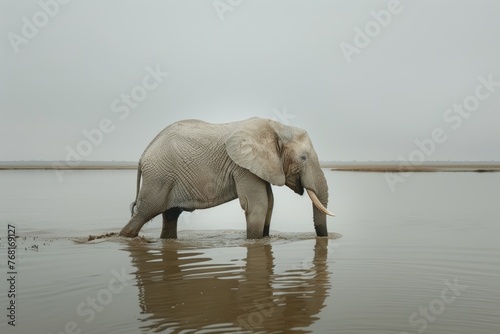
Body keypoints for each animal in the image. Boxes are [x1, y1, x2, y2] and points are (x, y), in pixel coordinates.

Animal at [119, 116, 334, 239]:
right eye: (303, 158)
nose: (325, 238)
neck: (277, 128)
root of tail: (143, 155)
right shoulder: (243, 167)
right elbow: (258, 204)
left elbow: (270, 203)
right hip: (158, 178)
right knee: (144, 212)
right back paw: (125, 236)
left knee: (170, 216)